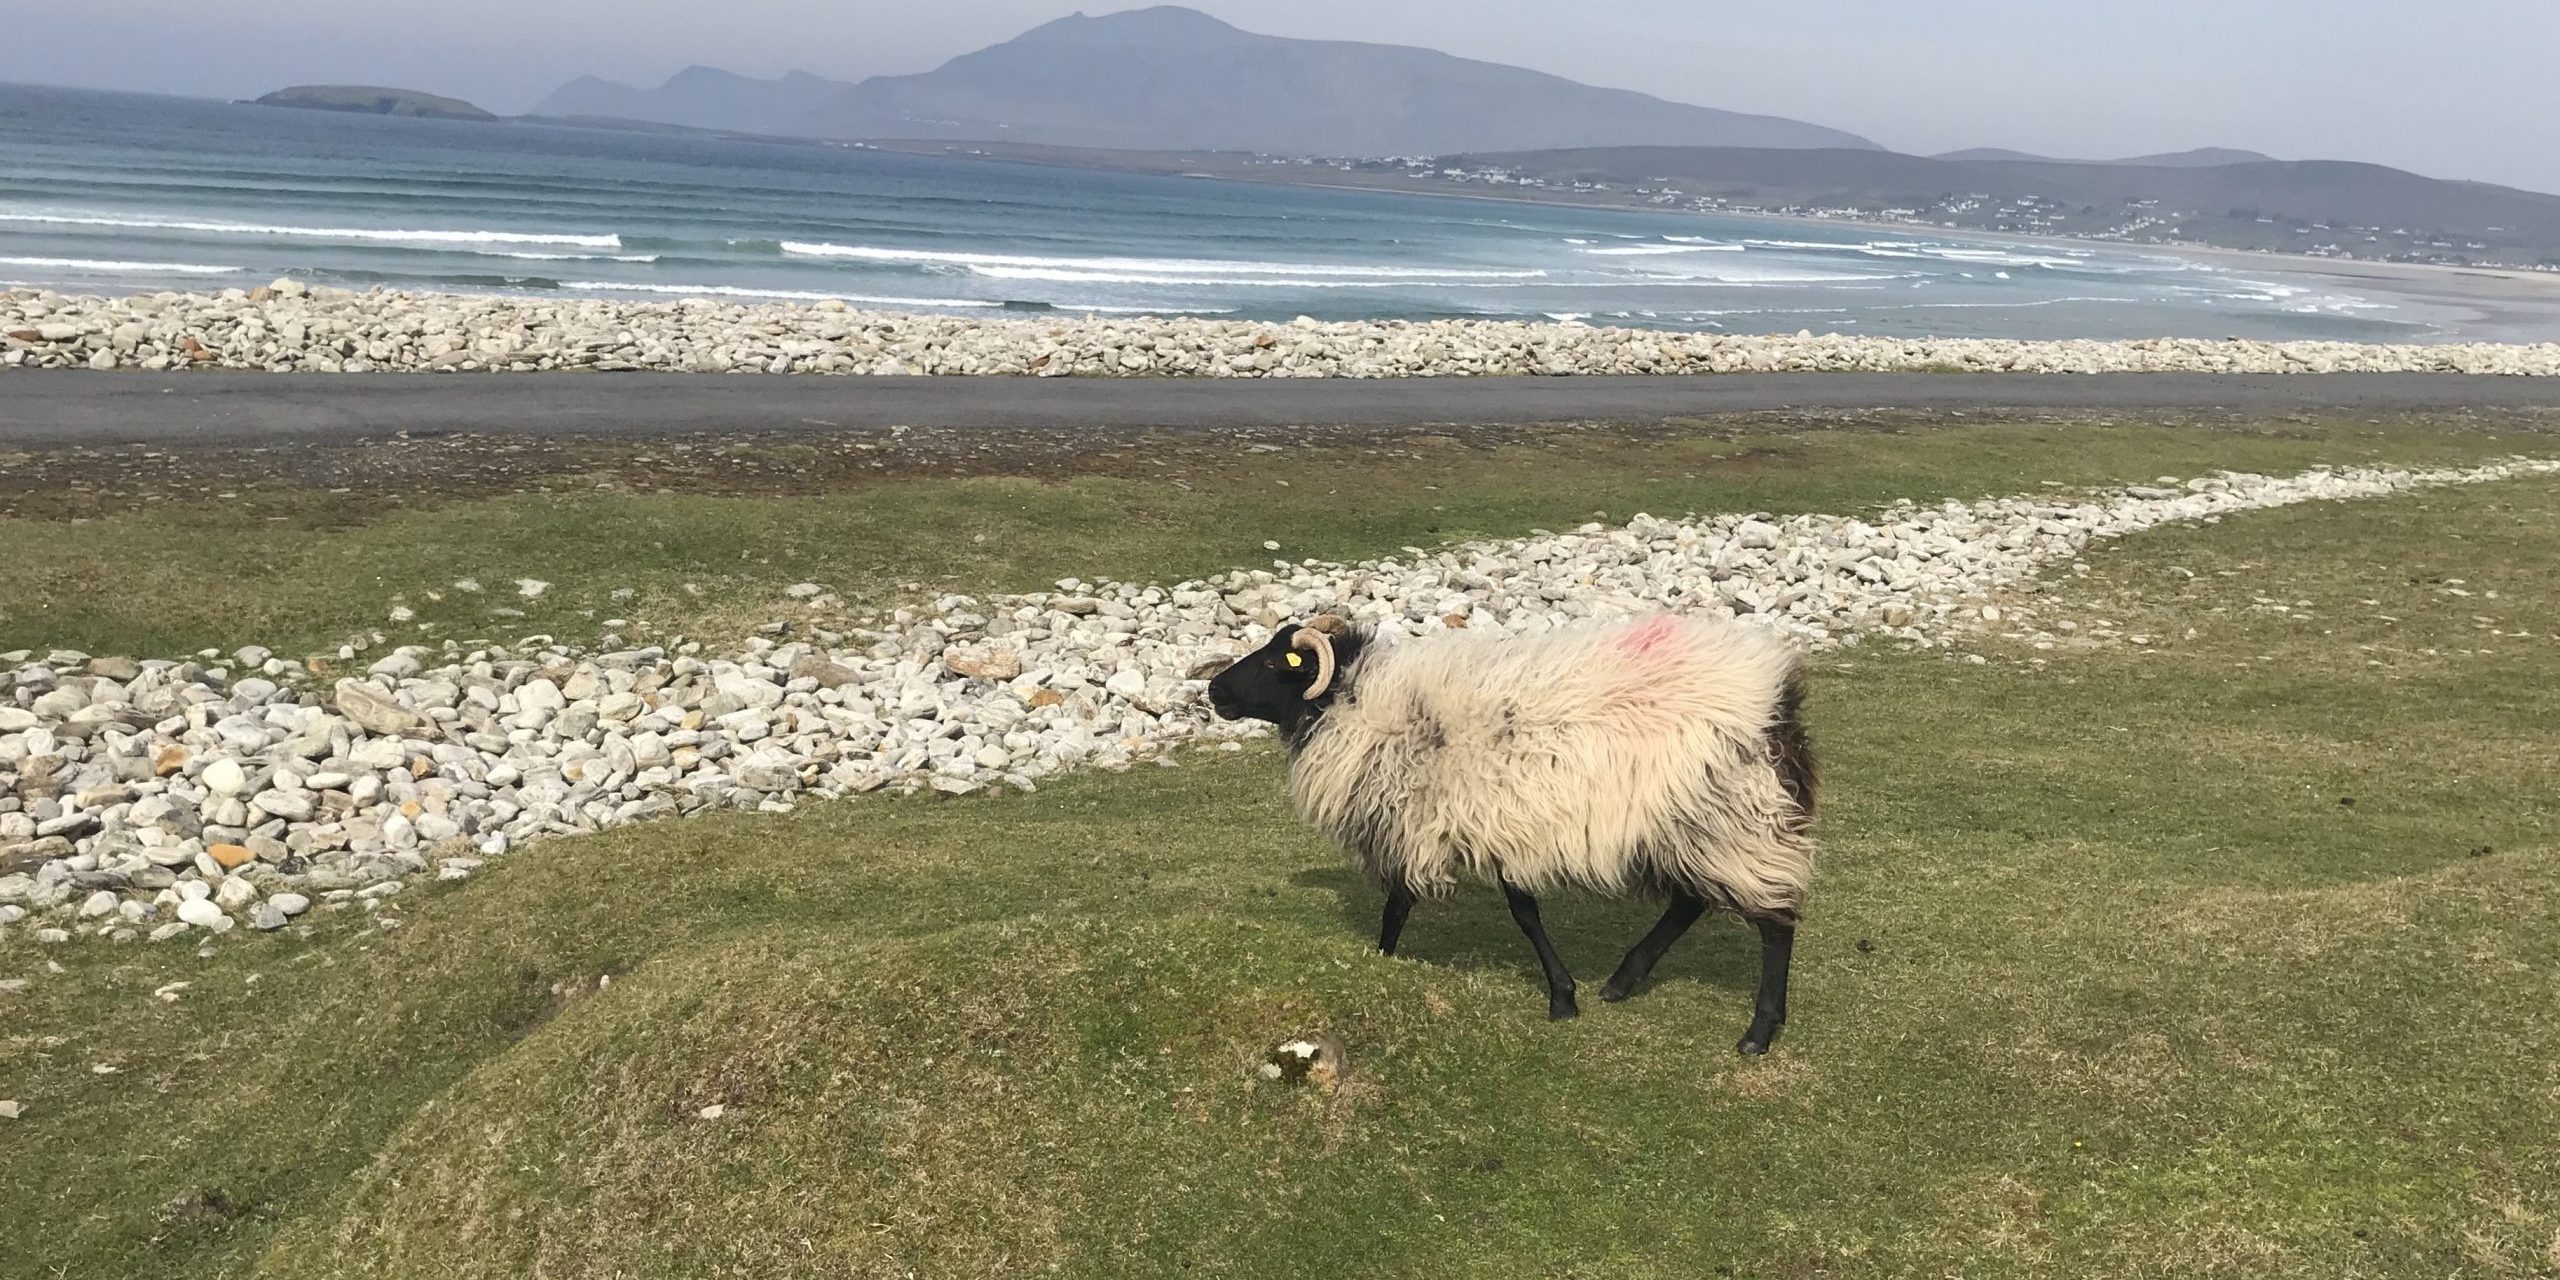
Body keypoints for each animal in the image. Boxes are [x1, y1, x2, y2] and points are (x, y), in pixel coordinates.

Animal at [1207, 612, 1816, 1054]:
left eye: (1274, 661)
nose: (1213, 689)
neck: (1360, 706)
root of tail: (1778, 706)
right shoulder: (1477, 823)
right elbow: (1454, 907)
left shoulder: (1461, 821)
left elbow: (1455, 909)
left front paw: (1560, 998)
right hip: (1691, 827)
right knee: (1691, 902)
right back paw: (1624, 980)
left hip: (1734, 822)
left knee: (1774, 924)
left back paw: (1759, 1031)